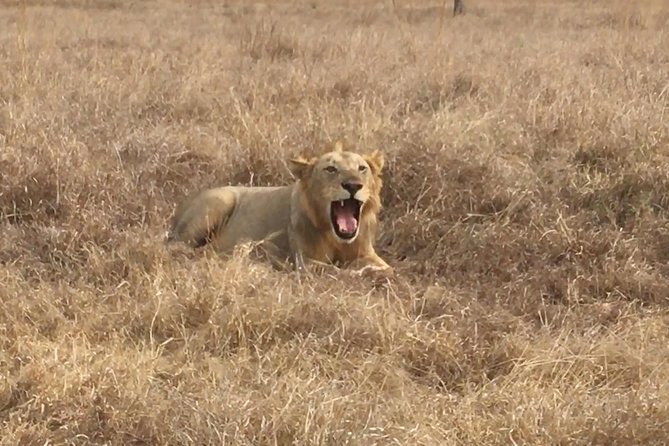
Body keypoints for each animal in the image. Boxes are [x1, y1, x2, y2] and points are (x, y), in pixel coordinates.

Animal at [166, 141, 392, 274]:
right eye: (330, 169)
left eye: (362, 168)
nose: (353, 185)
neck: (335, 238)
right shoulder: (304, 262)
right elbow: (335, 271)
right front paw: (363, 273)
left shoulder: (369, 253)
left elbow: (386, 268)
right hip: (218, 203)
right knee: (178, 246)